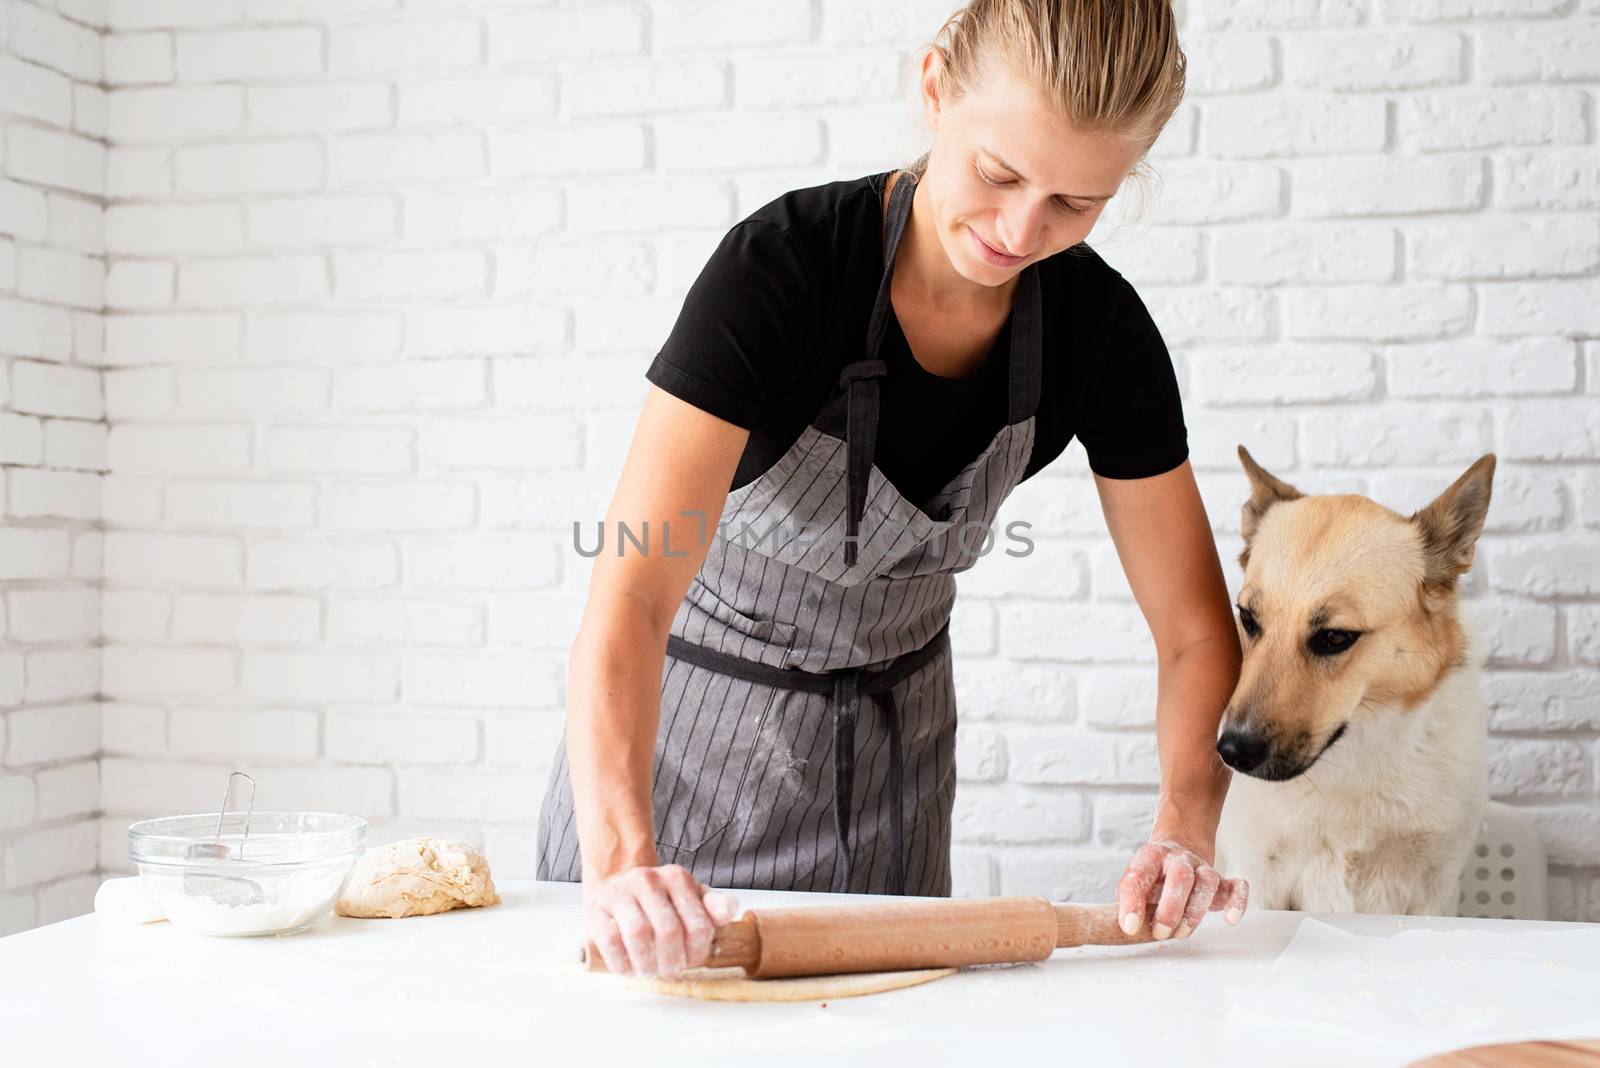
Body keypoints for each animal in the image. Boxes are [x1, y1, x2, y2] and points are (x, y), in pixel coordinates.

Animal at [1216, 444, 1491, 920]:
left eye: (1334, 638)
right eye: (1248, 619)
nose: (1232, 752)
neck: (1352, 756)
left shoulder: (1433, 893)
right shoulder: (1258, 881)